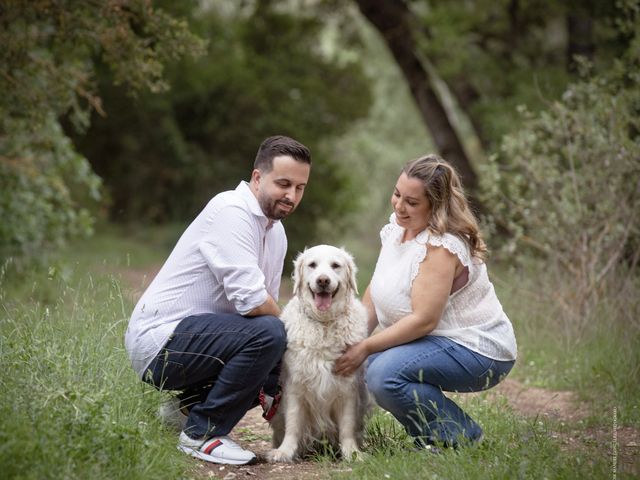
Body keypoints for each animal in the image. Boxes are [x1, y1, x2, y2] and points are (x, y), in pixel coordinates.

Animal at [266, 246, 368, 464]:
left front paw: (352, 452)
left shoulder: (347, 387)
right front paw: (285, 451)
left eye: (335, 265)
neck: (324, 324)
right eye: (312, 265)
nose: (323, 281)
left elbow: (347, 426)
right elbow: (293, 423)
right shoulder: (294, 386)